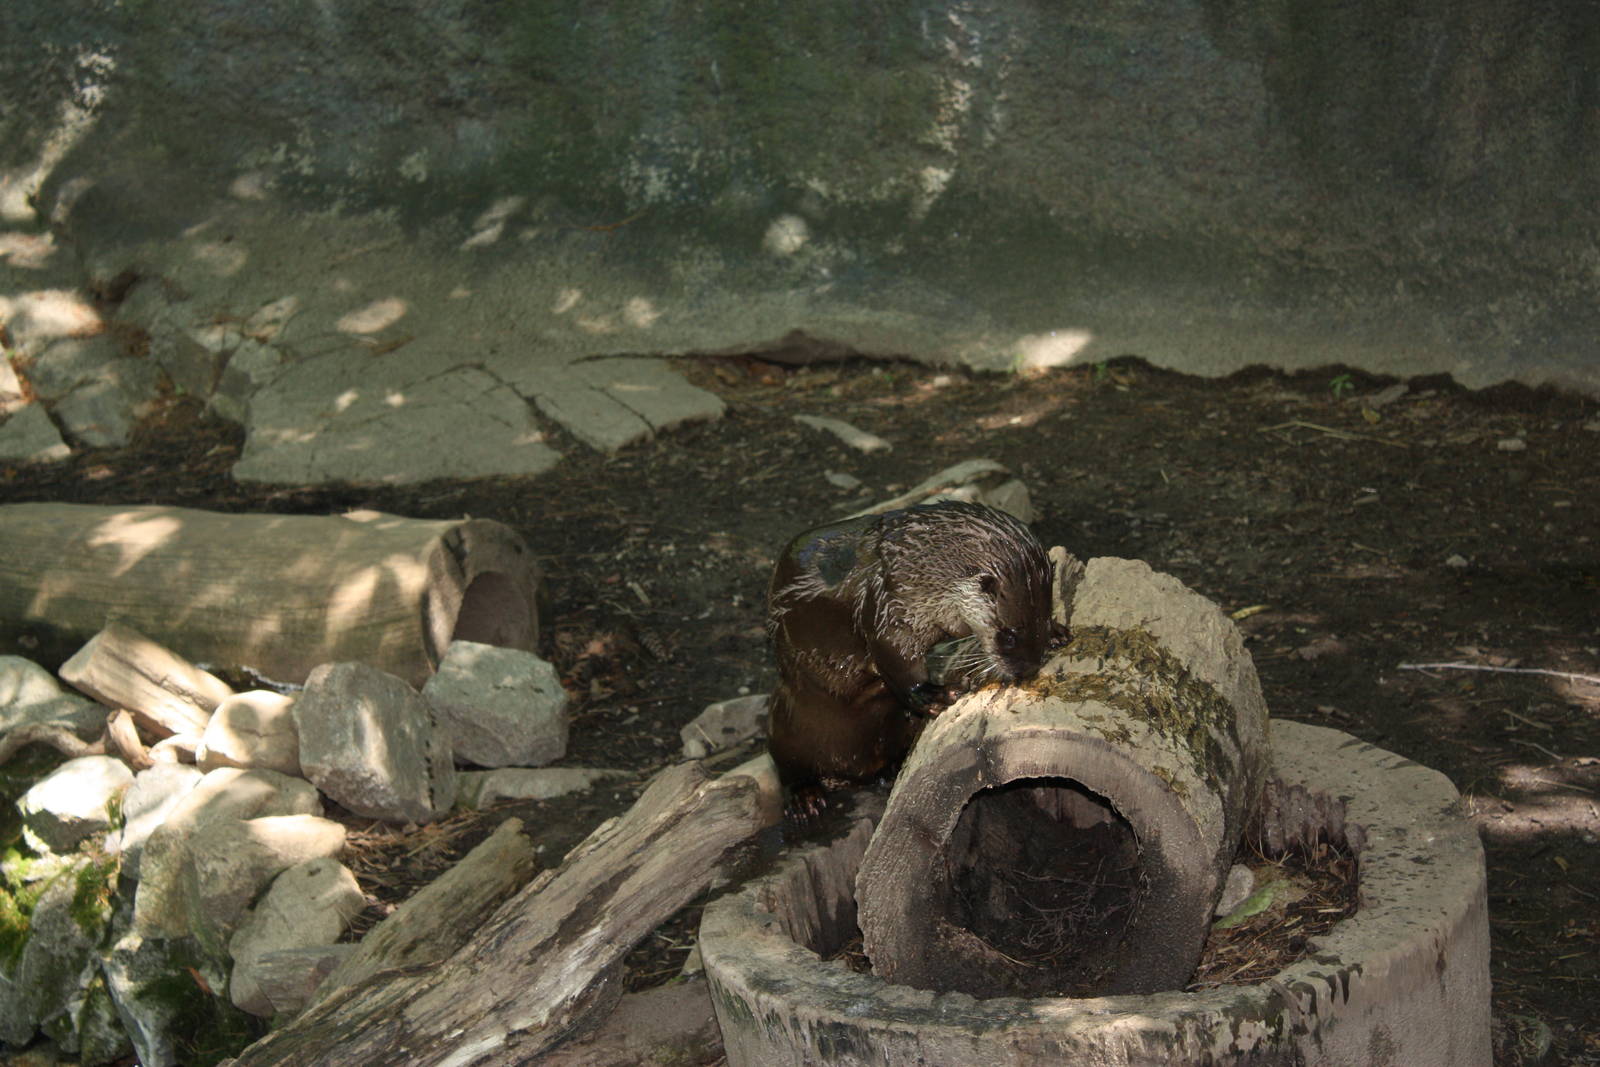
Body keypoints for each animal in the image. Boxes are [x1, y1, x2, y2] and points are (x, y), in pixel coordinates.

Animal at [765, 500, 1057, 818]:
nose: (1027, 669)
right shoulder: (885, 605)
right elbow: (894, 659)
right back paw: (804, 796)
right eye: (1009, 635)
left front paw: (1058, 633)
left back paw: (890, 770)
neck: (915, 568)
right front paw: (936, 694)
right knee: (788, 767)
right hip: (785, 726)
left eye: (1043, 621)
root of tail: (850, 772)